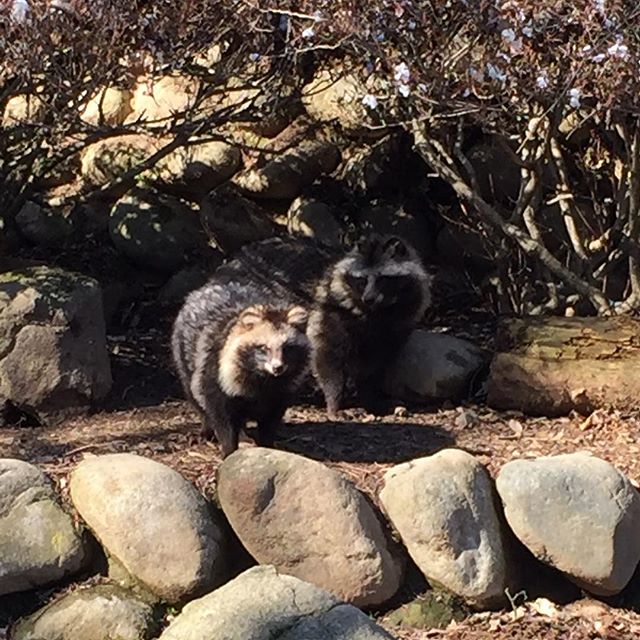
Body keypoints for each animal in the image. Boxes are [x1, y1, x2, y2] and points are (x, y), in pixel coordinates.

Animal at [170, 272, 310, 458]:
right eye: (263, 348)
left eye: (287, 348)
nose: (277, 368)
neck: (264, 378)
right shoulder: (216, 378)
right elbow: (222, 420)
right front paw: (229, 451)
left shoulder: (280, 393)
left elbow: (270, 423)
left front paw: (267, 447)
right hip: (183, 353)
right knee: (193, 393)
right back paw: (207, 427)